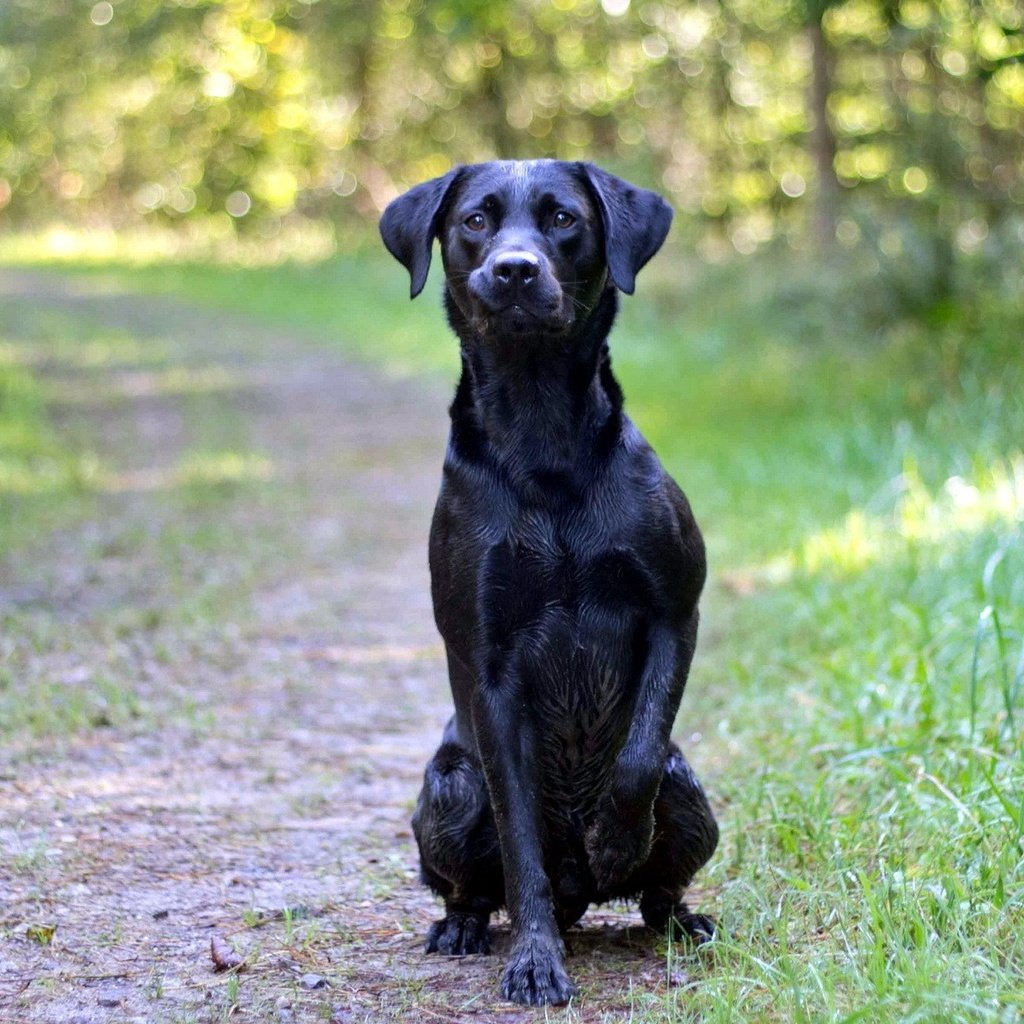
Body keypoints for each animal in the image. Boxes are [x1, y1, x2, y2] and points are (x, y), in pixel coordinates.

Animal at [380, 161, 716, 1007]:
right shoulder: (488, 664)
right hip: (447, 790)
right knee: (474, 883)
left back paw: (676, 916)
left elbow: (635, 760)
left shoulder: (675, 609)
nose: (514, 269)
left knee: (658, 886)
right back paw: (464, 926)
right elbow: (519, 837)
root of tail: (579, 899)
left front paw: (618, 838)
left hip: (692, 791)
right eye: (475, 220)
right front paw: (534, 961)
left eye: (563, 217)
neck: (542, 440)